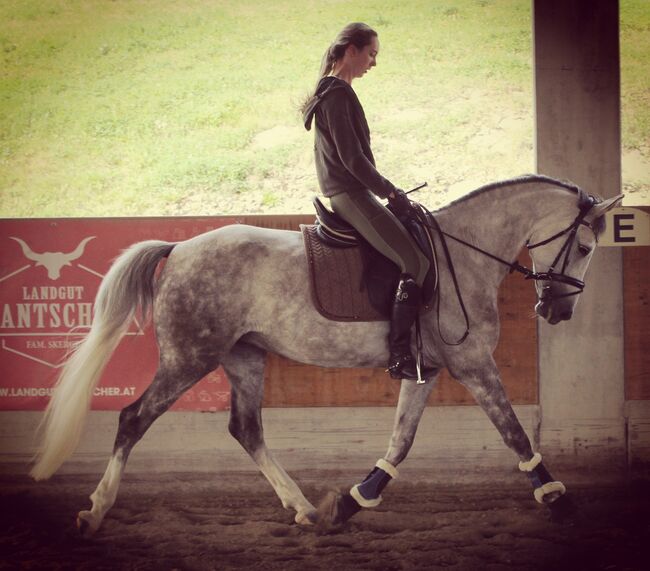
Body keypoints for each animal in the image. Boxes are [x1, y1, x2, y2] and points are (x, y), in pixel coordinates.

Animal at [31, 175, 624, 536]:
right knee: (134, 418)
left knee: (246, 430)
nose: (558, 311)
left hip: (243, 358)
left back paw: (304, 508)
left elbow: (401, 441)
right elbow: (514, 433)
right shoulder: (473, 364)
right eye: (585, 247)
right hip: (188, 358)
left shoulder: (426, 370)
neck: (464, 253)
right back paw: (95, 510)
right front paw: (558, 498)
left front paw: (353, 500)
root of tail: (177, 248)